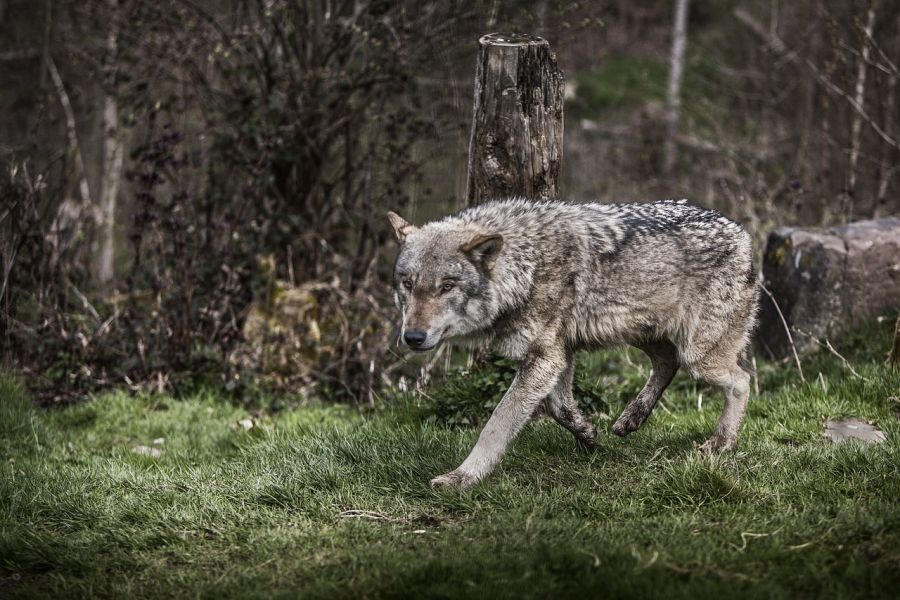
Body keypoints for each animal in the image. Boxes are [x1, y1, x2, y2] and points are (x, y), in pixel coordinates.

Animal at [386, 199, 760, 490]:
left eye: (447, 286)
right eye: (407, 285)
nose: (413, 337)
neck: (526, 264)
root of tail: (742, 233)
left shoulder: (545, 357)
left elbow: (496, 425)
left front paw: (462, 477)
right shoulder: (558, 354)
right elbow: (559, 408)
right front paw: (588, 434)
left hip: (698, 355)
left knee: (741, 380)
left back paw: (720, 444)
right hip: (641, 334)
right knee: (668, 363)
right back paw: (632, 418)